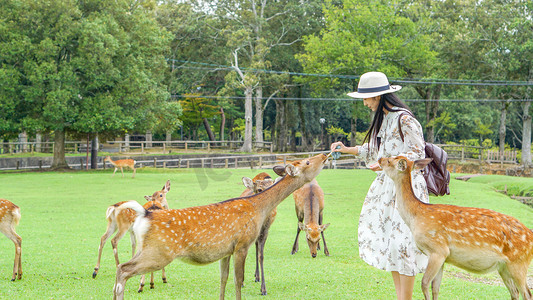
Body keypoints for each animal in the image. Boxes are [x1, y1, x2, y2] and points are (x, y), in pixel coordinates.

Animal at [112, 154, 328, 298]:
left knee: (122, 268)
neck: (258, 209)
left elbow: (223, 280)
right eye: (308, 162)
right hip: (160, 252)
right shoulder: (242, 244)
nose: (324, 155)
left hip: (148, 249)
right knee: (124, 269)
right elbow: (238, 281)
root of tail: (145, 215)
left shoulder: (226, 251)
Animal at [378, 157, 532, 300]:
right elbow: (435, 288)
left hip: (518, 263)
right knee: (515, 292)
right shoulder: (443, 256)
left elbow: (424, 283)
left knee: (527, 293)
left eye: (390, 160)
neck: (416, 217)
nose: (379, 159)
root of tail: (530, 234)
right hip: (504, 267)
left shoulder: (438, 249)